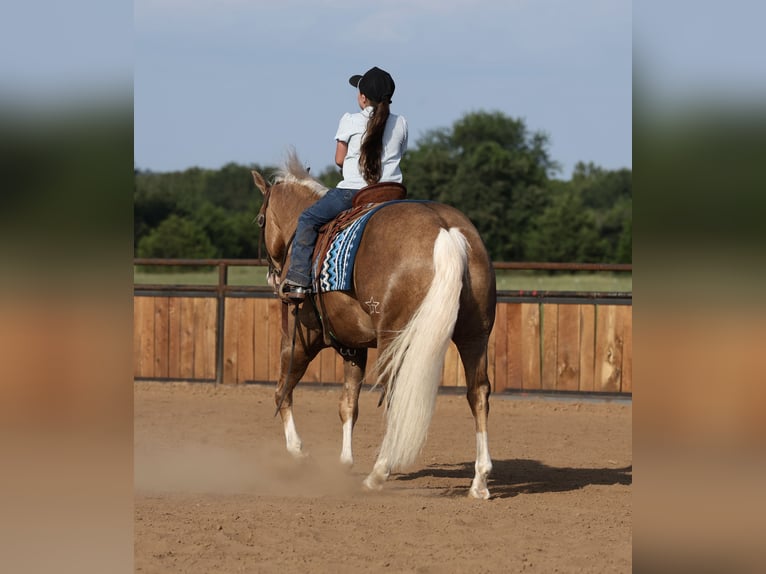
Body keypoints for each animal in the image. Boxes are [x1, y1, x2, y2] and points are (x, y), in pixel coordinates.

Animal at [251, 151, 497, 498]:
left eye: (260, 220)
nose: (273, 278)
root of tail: (446, 231)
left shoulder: (300, 337)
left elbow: (282, 391)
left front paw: (299, 453)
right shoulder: (353, 345)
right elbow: (348, 404)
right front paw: (344, 463)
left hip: (394, 339)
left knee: (395, 395)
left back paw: (379, 472)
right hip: (475, 336)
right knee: (478, 393)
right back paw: (479, 481)